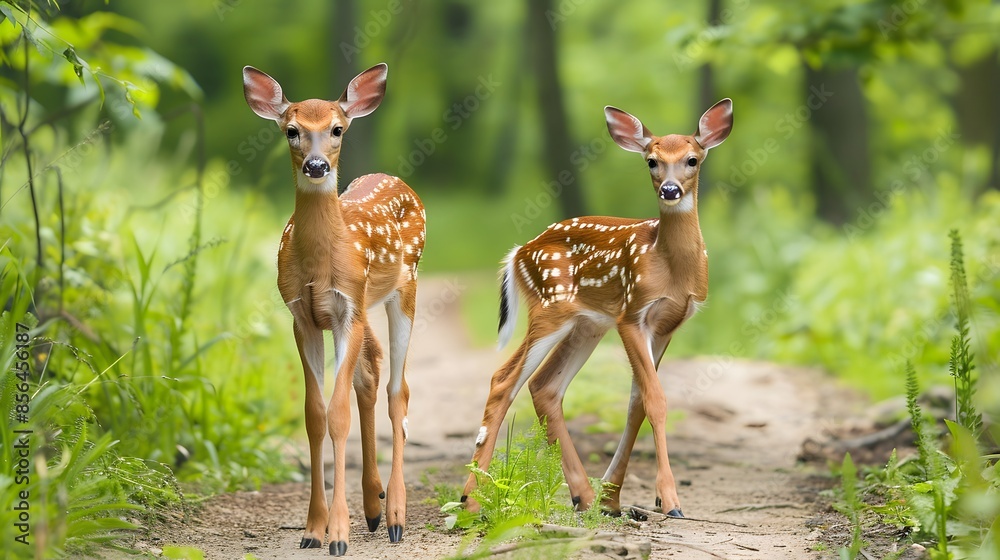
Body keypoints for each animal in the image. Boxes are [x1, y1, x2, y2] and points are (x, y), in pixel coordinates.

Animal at [243, 63, 425, 556]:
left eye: (337, 129)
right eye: (292, 131)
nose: (316, 165)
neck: (321, 262)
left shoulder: (346, 312)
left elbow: (338, 414)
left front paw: (338, 534)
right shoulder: (302, 317)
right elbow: (315, 415)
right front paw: (313, 528)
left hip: (404, 290)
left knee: (397, 391)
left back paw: (395, 515)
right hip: (365, 308)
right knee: (371, 373)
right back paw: (373, 505)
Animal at [461, 99, 733, 518]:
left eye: (692, 159)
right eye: (651, 161)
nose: (670, 189)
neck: (670, 267)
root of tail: (518, 253)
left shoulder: (668, 325)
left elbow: (637, 402)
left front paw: (613, 498)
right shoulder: (631, 314)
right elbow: (656, 400)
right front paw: (670, 500)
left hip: (586, 325)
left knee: (544, 386)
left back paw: (583, 496)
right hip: (550, 308)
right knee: (505, 380)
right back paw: (471, 501)